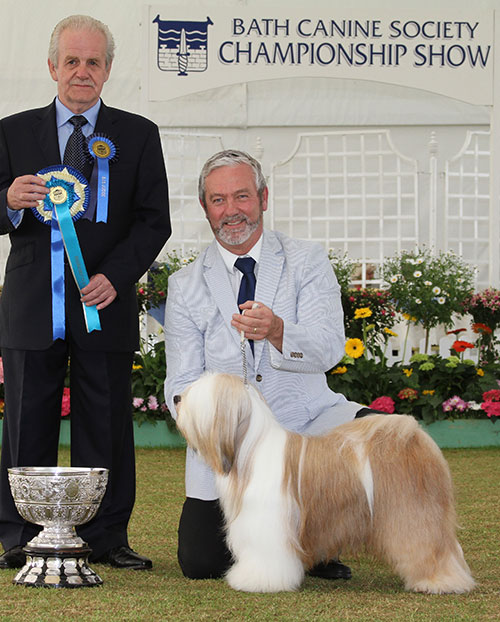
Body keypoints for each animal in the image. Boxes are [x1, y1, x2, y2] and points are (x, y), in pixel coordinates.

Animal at [174, 372, 474, 596]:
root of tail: (413, 437)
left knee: (431, 546)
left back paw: (440, 582)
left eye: (198, 395)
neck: (249, 449)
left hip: (414, 513)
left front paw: (259, 580)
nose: (176, 397)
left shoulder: (268, 525)